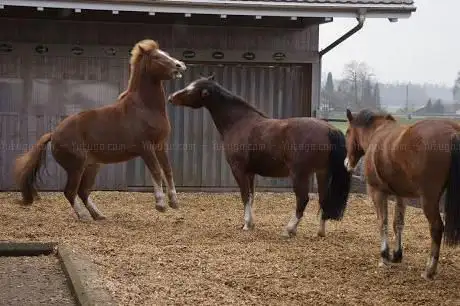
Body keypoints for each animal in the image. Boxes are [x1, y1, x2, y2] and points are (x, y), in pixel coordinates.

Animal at [14, 39, 187, 221]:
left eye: (166, 53)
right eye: (156, 57)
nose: (180, 65)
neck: (145, 108)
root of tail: (54, 134)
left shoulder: (160, 145)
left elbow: (167, 170)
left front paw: (174, 202)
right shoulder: (145, 148)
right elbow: (156, 171)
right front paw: (160, 204)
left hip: (92, 166)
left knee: (83, 191)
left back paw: (98, 215)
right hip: (76, 167)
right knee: (70, 191)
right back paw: (84, 216)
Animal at [169, 75, 352, 238]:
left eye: (191, 89)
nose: (171, 97)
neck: (239, 122)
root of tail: (329, 129)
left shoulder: (238, 170)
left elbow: (244, 196)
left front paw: (246, 225)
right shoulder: (250, 173)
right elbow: (251, 196)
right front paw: (250, 223)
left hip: (300, 174)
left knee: (303, 199)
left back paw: (289, 229)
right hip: (322, 173)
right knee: (323, 199)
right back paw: (320, 232)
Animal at [344, 108, 460, 280]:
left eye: (347, 132)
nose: (347, 164)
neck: (376, 134)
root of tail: (452, 132)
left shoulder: (377, 192)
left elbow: (383, 222)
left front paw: (384, 256)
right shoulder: (401, 195)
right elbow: (398, 223)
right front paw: (397, 255)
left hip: (429, 200)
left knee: (436, 228)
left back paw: (429, 270)